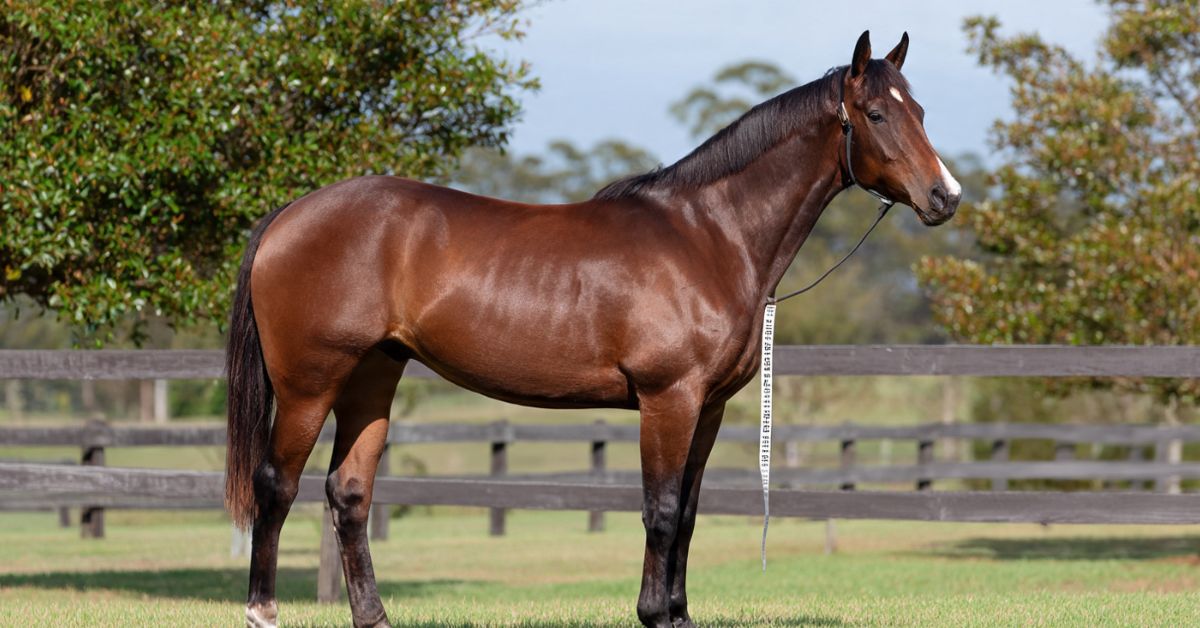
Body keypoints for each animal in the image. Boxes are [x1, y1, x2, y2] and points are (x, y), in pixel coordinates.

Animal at [225, 30, 960, 628]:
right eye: (876, 114)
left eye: (922, 111)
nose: (946, 197)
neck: (709, 236)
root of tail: (289, 216)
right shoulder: (669, 400)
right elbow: (659, 510)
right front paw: (654, 614)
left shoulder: (709, 408)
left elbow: (687, 513)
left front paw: (677, 614)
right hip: (309, 384)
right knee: (275, 485)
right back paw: (262, 610)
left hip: (373, 376)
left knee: (348, 493)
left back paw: (373, 616)